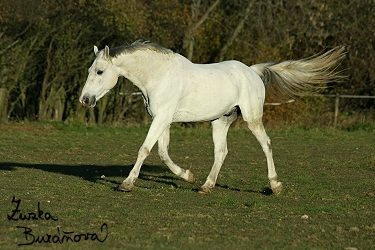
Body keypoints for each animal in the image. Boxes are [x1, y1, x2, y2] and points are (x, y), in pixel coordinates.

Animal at [80, 40, 346, 193]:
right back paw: (205, 186)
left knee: (266, 145)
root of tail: (252, 71)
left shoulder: (161, 119)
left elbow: (145, 149)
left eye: (100, 71)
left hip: (252, 119)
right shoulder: (163, 119)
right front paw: (188, 176)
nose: (85, 100)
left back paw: (275, 185)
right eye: (90, 70)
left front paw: (127, 184)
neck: (160, 75)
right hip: (220, 121)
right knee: (221, 152)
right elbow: (163, 153)